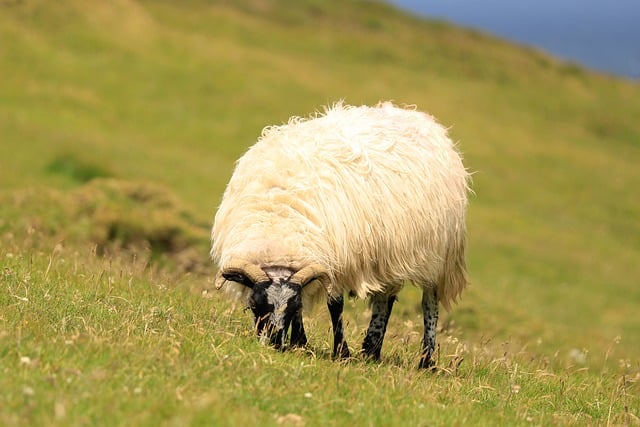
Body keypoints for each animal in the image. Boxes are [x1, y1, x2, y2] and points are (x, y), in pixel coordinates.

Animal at [210, 102, 470, 370]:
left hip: (439, 257)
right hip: (388, 255)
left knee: (429, 304)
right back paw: (371, 350)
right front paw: (300, 343)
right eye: (254, 304)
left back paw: (426, 361)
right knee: (384, 299)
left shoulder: (337, 262)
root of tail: (421, 118)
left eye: (292, 307)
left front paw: (341, 352)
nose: (273, 344)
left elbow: (335, 306)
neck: (277, 230)